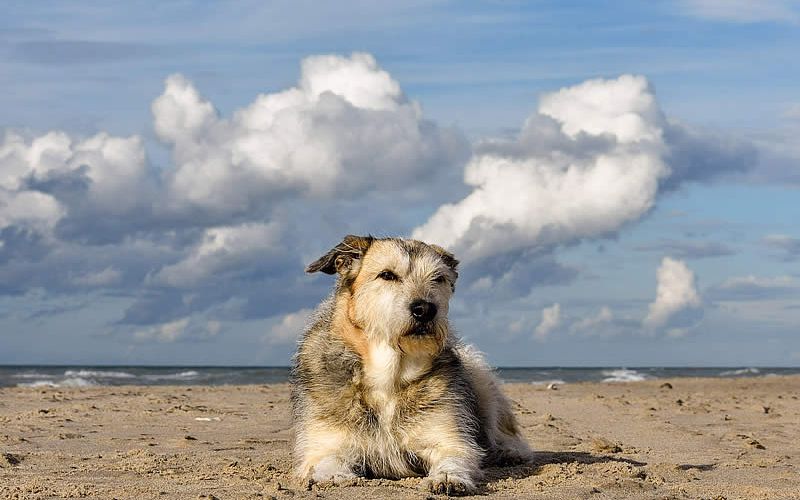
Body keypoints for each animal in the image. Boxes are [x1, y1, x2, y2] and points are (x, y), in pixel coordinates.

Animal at [290, 236, 532, 494]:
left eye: (438, 278)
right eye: (387, 275)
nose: (425, 309)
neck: (388, 373)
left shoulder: (450, 439)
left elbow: (454, 456)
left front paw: (447, 477)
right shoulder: (324, 444)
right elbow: (326, 460)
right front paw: (335, 475)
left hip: (481, 378)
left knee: (503, 430)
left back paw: (509, 451)